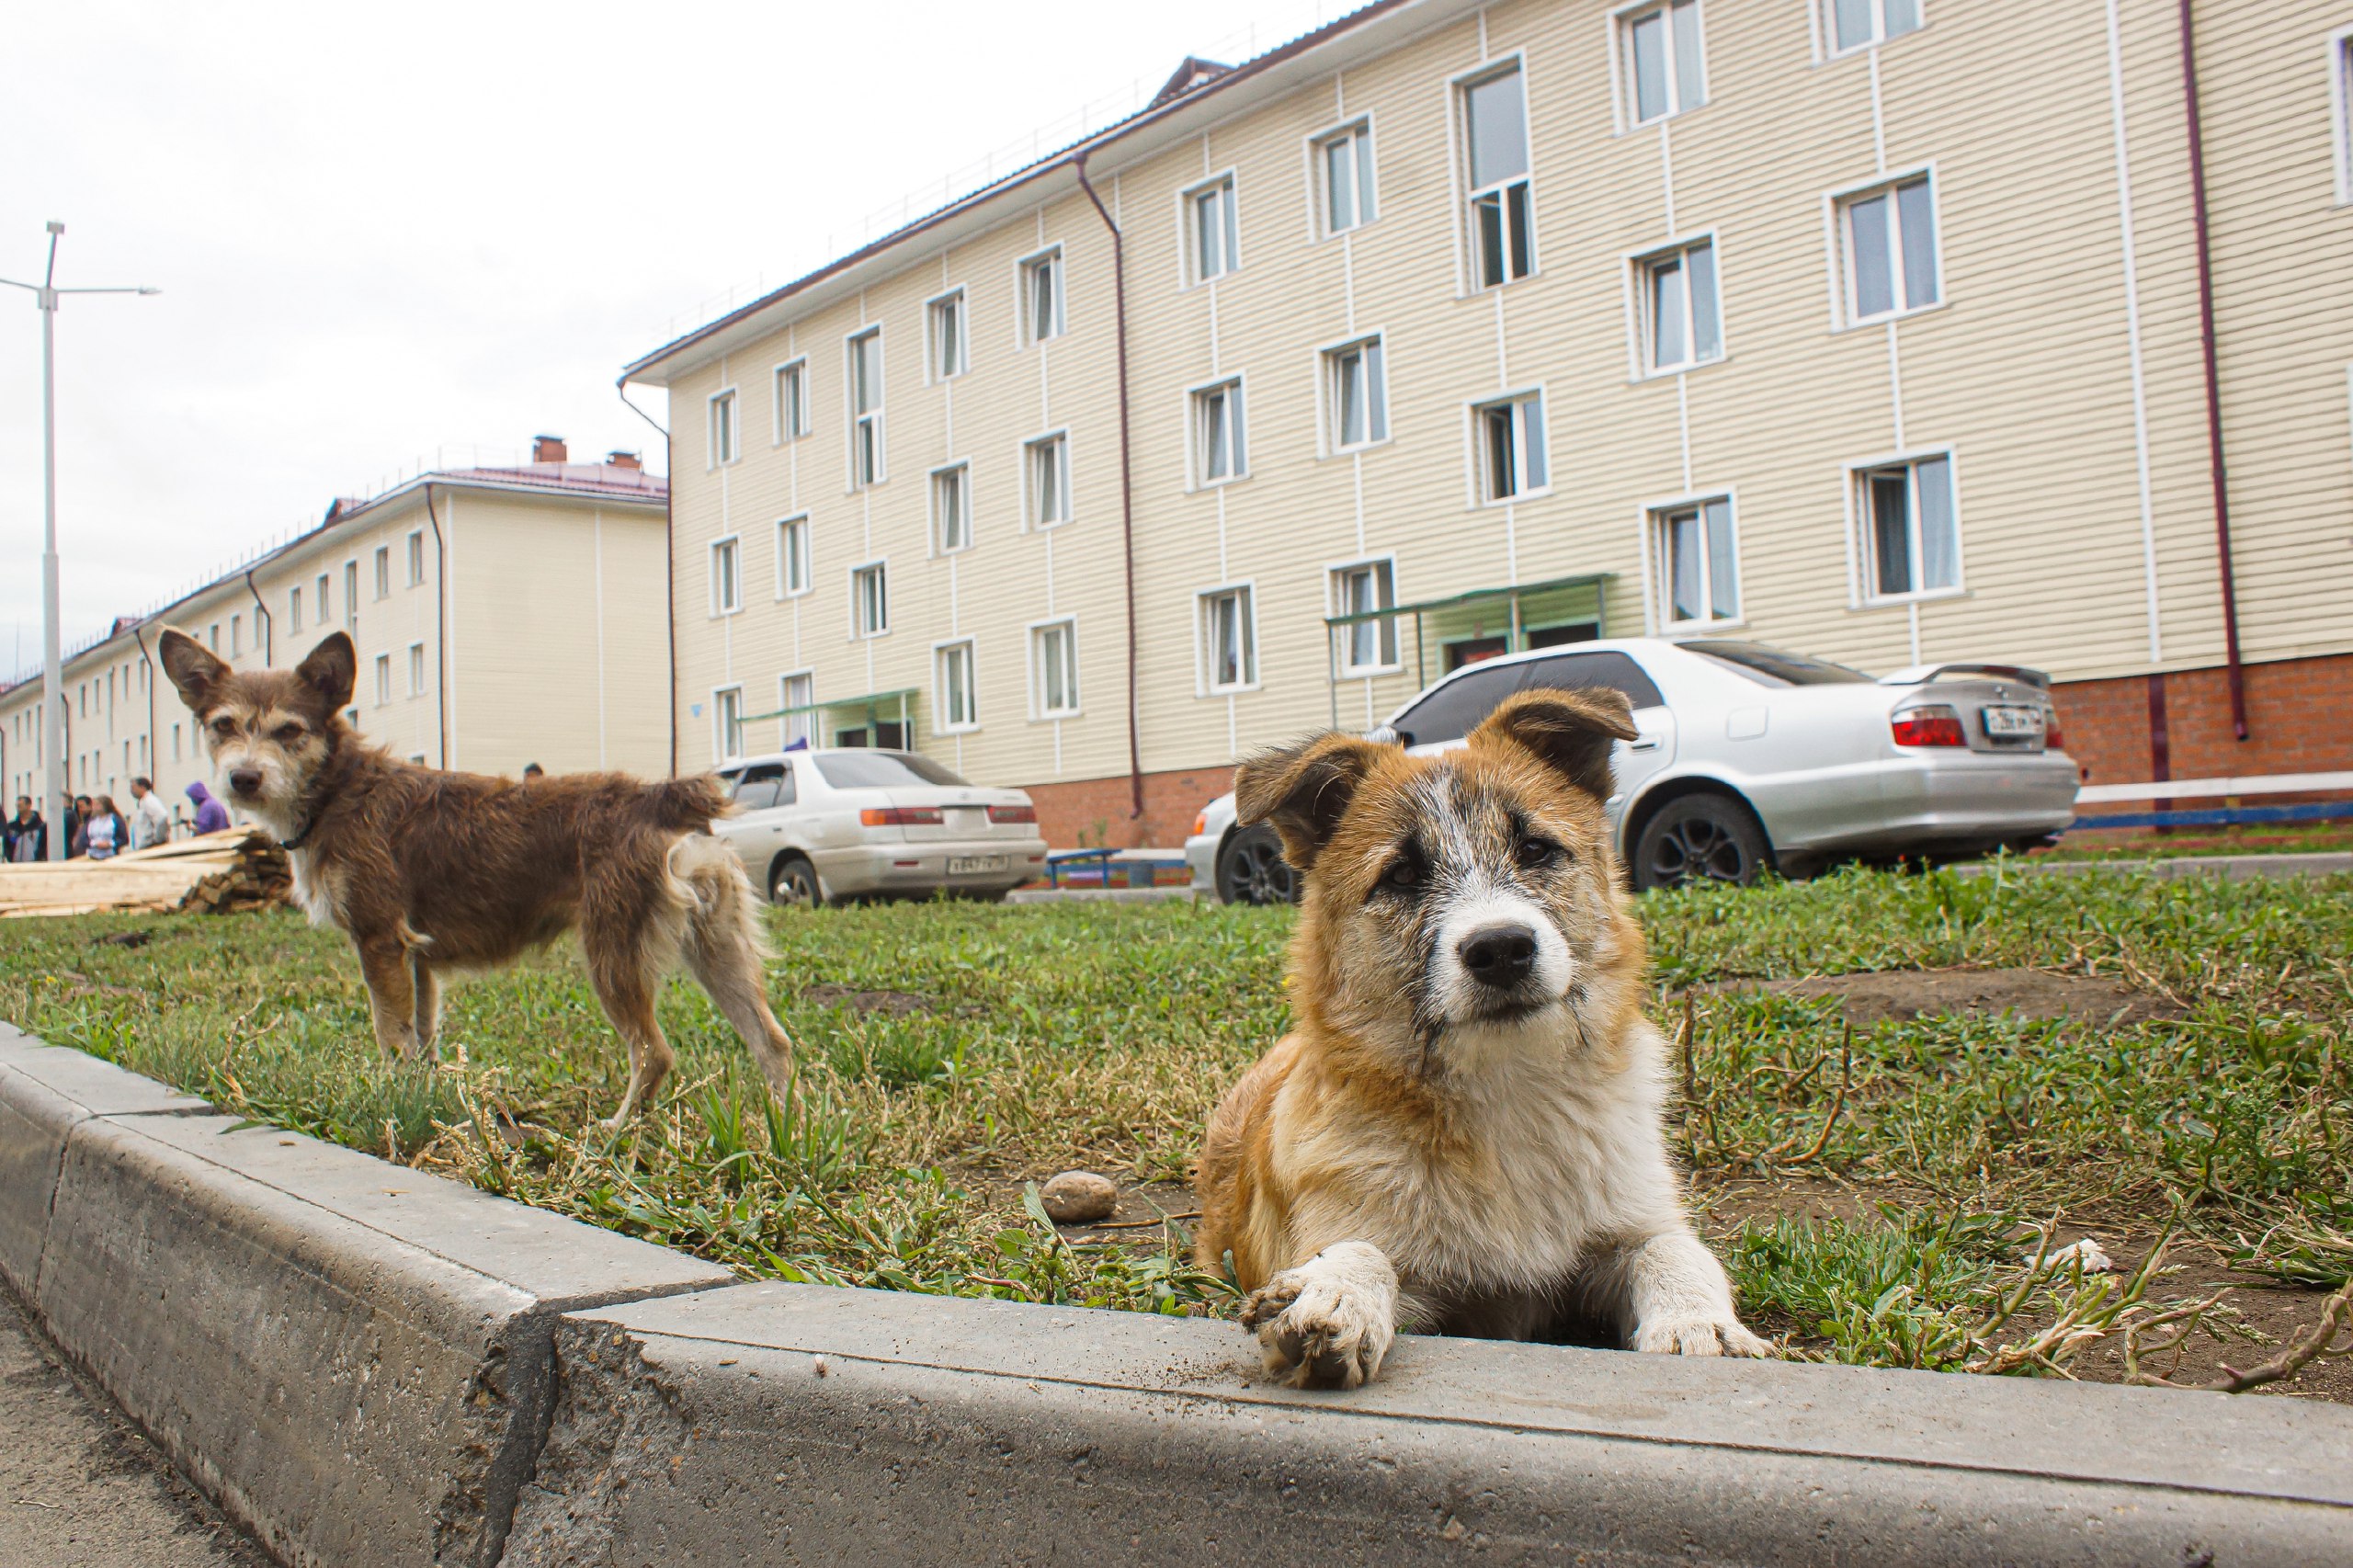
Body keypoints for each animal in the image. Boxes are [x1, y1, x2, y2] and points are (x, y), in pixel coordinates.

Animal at [161, 621, 800, 1125]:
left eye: (289, 731)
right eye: (222, 726)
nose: (244, 778)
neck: (339, 789)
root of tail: (657, 795)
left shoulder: (378, 941)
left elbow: (391, 1038)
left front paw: (390, 1103)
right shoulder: (416, 960)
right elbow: (420, 1041)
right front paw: (418, 1101)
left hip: (612, 953)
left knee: (655, 1054)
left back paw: (612, 1135)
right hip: (717, 948)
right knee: (773, 1042)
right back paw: (783, 1130)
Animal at [1195, 682, 1769, 1384]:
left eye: (1535, 849)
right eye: (1402, 874)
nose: (1501, 949)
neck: (1505, 1092)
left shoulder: (1631, 1220)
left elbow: (1674, 1250)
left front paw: (1699, 1327)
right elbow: (1363, 1250)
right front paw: (1333, 1293)